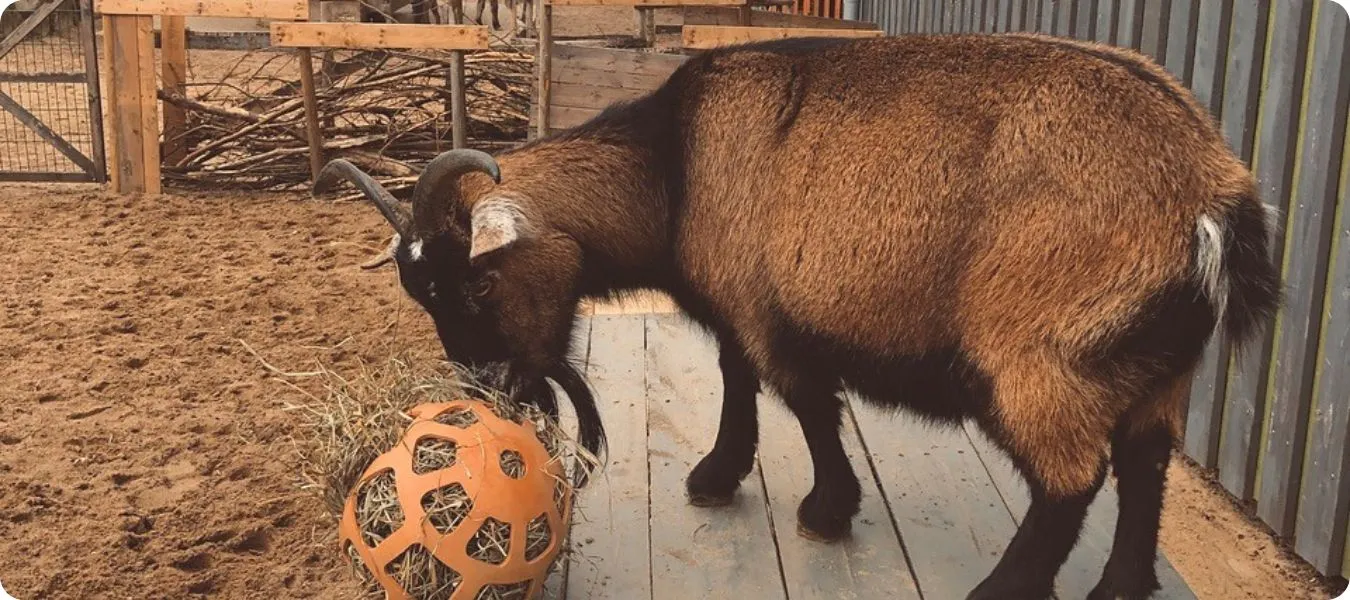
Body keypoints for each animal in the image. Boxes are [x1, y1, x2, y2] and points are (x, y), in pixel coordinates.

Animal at [316, 33, 1281, 600]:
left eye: (474, 286)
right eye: (424, 294)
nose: (492, 393)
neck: (673, 166)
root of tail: (1211, 198)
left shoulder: (768, 310)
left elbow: (806, 401)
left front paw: (822, 506)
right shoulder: (737, 311)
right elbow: (740, 380)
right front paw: (721, 474)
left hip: (1043, 357)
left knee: (1069, 482)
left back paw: (1002, 590)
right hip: (1155, 364)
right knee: (1147, 463)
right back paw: (1122, 587)